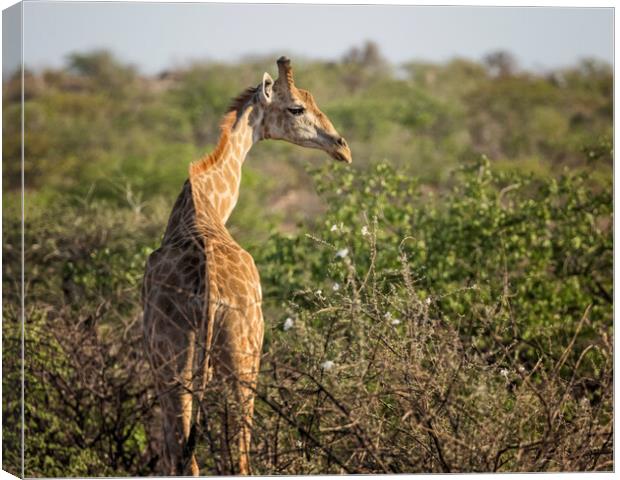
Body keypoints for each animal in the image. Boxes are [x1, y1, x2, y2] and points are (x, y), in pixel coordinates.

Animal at [142, 57, 352, 476]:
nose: (343, 148)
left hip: (177, 363)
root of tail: (206, 292)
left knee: (186, 455)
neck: (204, 203)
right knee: (233, 458)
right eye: (296, 107)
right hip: (242, 360)